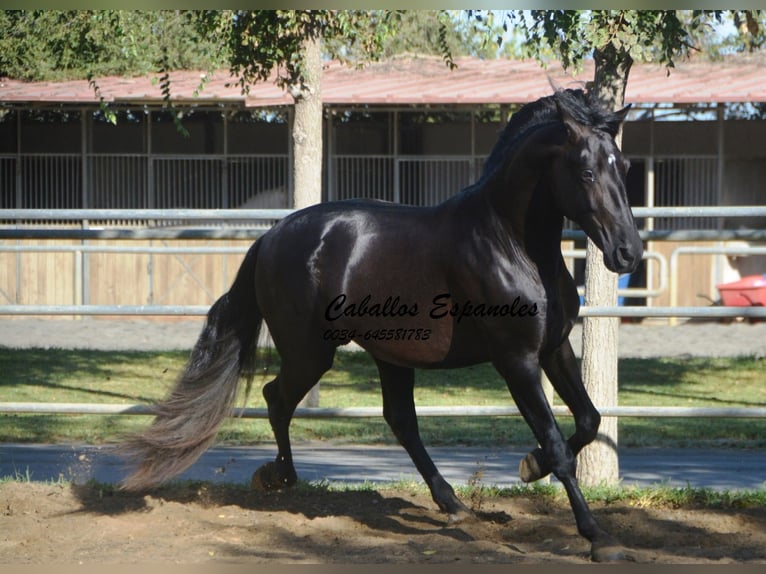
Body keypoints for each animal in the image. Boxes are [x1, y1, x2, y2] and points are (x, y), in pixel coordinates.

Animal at [123, 89, 644, 564]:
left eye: (624, 167)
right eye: (586, 172)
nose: (628, 254)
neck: (510, 244)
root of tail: (270, 238)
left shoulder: (554, 349)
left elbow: (589, 420)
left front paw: (529, 467)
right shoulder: (516, 360)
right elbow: (558, 445)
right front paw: (598, 536)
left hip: (390, 353)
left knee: (399, 421)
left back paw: (452, 504)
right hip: (312, 352)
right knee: (278, 398)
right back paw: (280, 477)